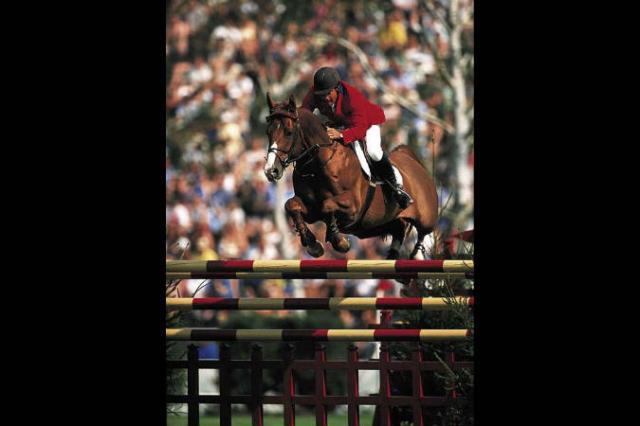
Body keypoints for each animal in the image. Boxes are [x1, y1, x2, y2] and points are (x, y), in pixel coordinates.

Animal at [263, 93, 438, 260]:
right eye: (268, 132)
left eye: (289, 132)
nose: (271, 170)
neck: (317, 165)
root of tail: (411, 159)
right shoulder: (311, 210)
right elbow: (291, 205)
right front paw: (313, 244)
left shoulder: (353, 205)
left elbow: (327, 205)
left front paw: (338, 241)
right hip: (381, 224)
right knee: (399, 229)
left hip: (426, 218)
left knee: (423, 233)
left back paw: (416, 252)